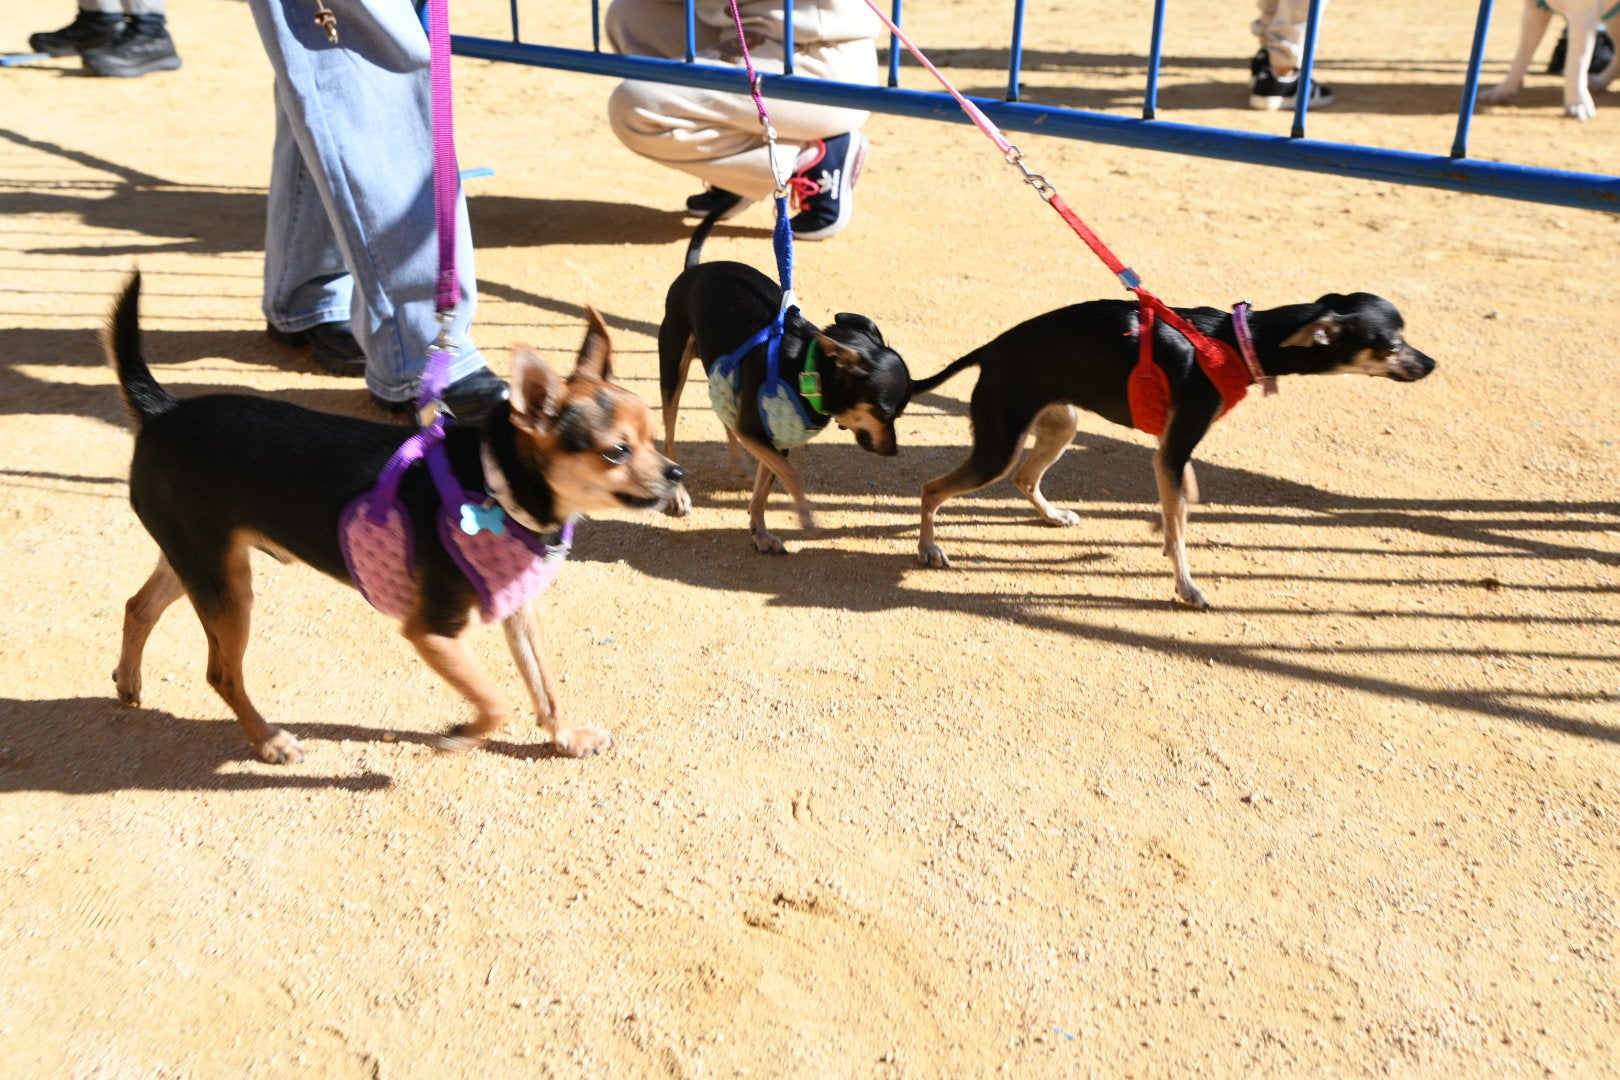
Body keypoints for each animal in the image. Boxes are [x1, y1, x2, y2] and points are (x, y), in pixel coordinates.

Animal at [106, 278, 677, 767]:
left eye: (653, 437)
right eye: (616, 451)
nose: (676, 472)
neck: (495, 481)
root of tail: (163, 410)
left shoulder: (518, 610)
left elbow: (543, 685)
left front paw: (566, 737)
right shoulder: (431, 631)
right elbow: (496, 702)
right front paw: (462, 735)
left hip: (200, 562)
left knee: (138, 606)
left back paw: (129, 681)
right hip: (226, 586)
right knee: (222, 673)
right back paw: (269, 741)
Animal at [657, 257, 913, 553]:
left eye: (901, 413)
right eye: (884, 412)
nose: (893, 450)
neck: (806, 368)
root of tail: (694, 268)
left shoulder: (774, 439)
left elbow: (762, 492)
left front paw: (760, 534)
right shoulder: (755, 432)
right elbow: (791, 475)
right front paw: (806, 516)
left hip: (723, 380)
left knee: (727, 420)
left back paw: (738, 465)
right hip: (673, 371)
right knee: (670, 437)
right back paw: (678, 494)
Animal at [913, 291, 1432, 608]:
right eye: (1392, 346)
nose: (1430, 363)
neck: (1236, 342)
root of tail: (991, 348)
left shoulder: (1169, 452)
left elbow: (1177, 508)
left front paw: (1167, 541)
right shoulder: (1174, 448)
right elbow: (1180, 525)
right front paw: (1186, 586)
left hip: (1061, 426)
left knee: (1024, 477)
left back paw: (1053, 515)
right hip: (999, 446)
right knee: (931, 488)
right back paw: (929, 548)